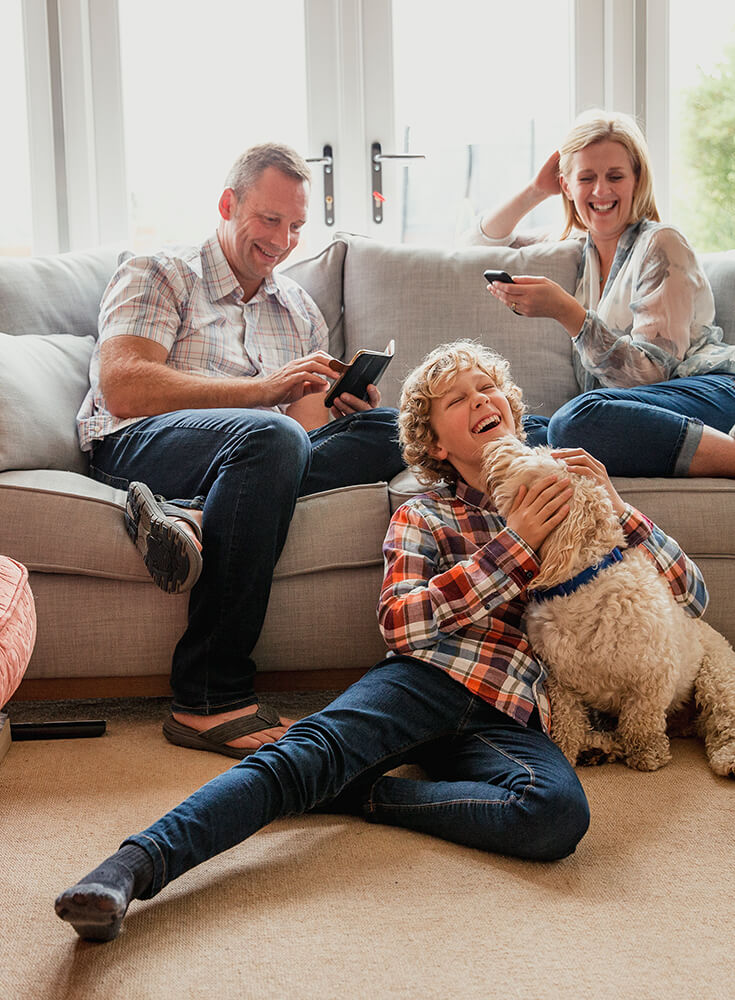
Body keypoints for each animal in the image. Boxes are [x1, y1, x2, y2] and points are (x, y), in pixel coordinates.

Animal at [484, 436, 735, 772]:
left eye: (541, 456)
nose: (498, 443)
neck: (580, 584)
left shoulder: (654, 674)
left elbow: (641, 719)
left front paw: (646, 752)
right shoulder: (560, 681)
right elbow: (567, 720)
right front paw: (567, 749)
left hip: (717, 676)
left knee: (723, 721)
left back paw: (727, 757)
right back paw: (598, 747)